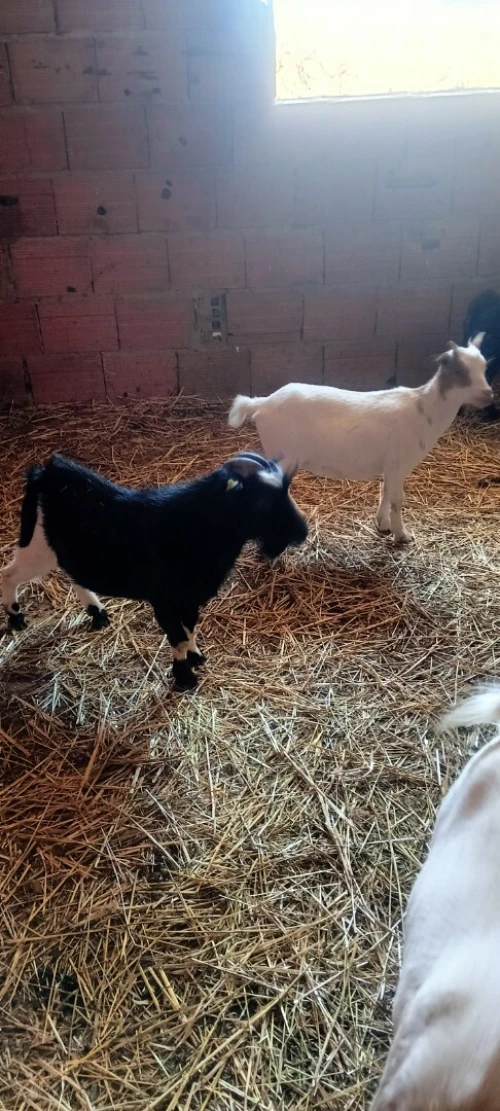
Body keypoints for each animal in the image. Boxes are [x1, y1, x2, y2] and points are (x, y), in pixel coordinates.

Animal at [1, 452, 308, 691]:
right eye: (262, 501)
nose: (302, 532)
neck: (197, 527)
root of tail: (45, 472)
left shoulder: (189, 600)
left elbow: (189, 629)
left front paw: (196, 658)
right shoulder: (165, 602)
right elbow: (177, 637)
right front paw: (184, 678)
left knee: (75, 577)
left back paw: (97, 613)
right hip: (37, 548)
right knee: (9, 574)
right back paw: (16, 618)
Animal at [229, 336, 492, 544]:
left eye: (484, 367)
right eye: (459, 371)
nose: (488, 395)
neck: (424, 411)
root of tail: (261, 404)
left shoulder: (391, 465)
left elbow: (385, 491)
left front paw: (383, 524)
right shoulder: (398, 462)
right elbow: (397, 499)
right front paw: (402, 535)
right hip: (284, 453)